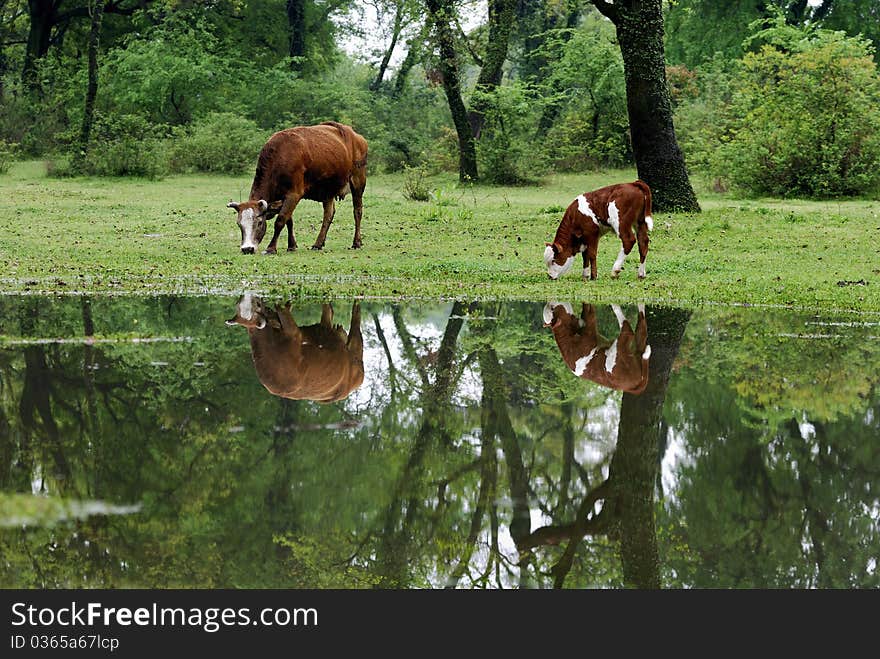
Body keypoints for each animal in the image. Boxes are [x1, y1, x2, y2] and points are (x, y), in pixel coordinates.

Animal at [227, 122, 368, 256]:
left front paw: (271, 248)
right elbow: (289, 221)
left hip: (358, 182)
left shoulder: (293, 195)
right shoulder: (284, 199)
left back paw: (356, 242)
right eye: (239, 224)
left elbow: (280, 220)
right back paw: (318, 243)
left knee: (357, 211)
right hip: (327, 190)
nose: (247, 249)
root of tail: (357, 137)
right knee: (328, 214)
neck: (280, 156)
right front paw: (292, 245)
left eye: (259, 222)